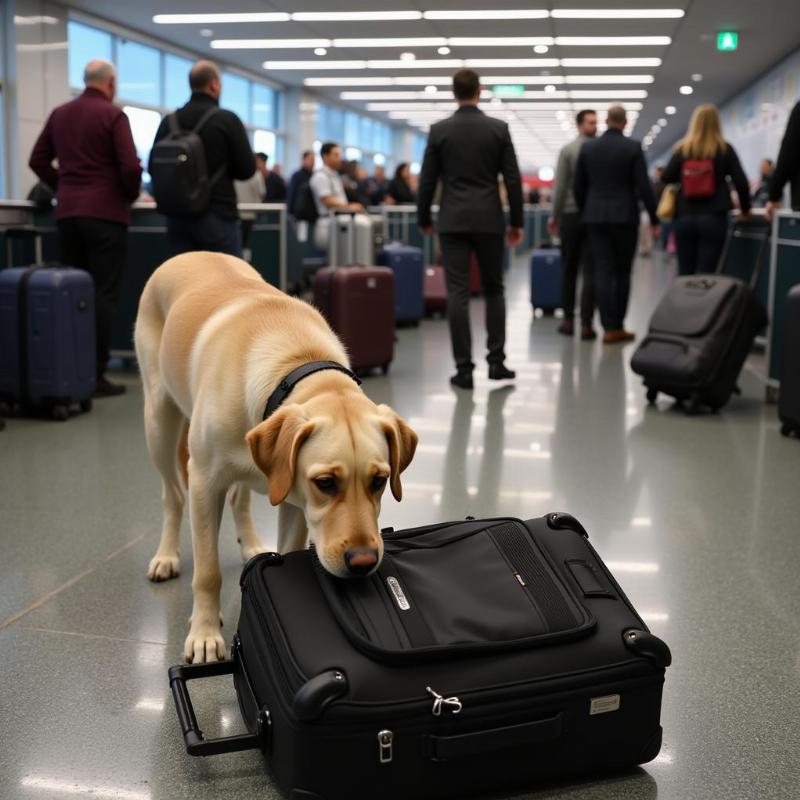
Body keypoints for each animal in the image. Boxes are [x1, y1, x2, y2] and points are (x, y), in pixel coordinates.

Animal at [134, 255, 416, 664]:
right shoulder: (204, 482)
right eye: (326, 483)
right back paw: (167, 556)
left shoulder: (295, 502)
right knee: (172, 494)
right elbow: (208, 572)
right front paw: (204, 635)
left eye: (379, 481)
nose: (363, 561)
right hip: (159, 421)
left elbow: (286, 550)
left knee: (238, 497)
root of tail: (187, 254)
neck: (296, 359)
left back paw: (251, 543)